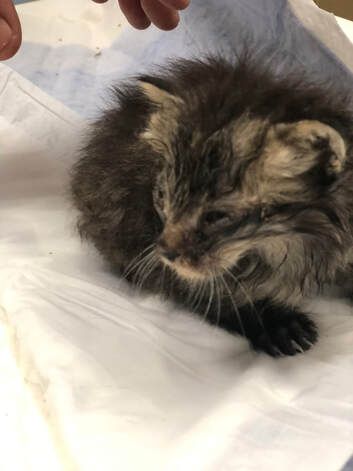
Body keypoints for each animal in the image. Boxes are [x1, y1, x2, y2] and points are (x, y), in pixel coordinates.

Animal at [69, 55, 352, 358]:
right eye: (162, 197)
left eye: (216, 216)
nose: (165, 251)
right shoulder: (141, 238)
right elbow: (212, 294)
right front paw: (276, 324)